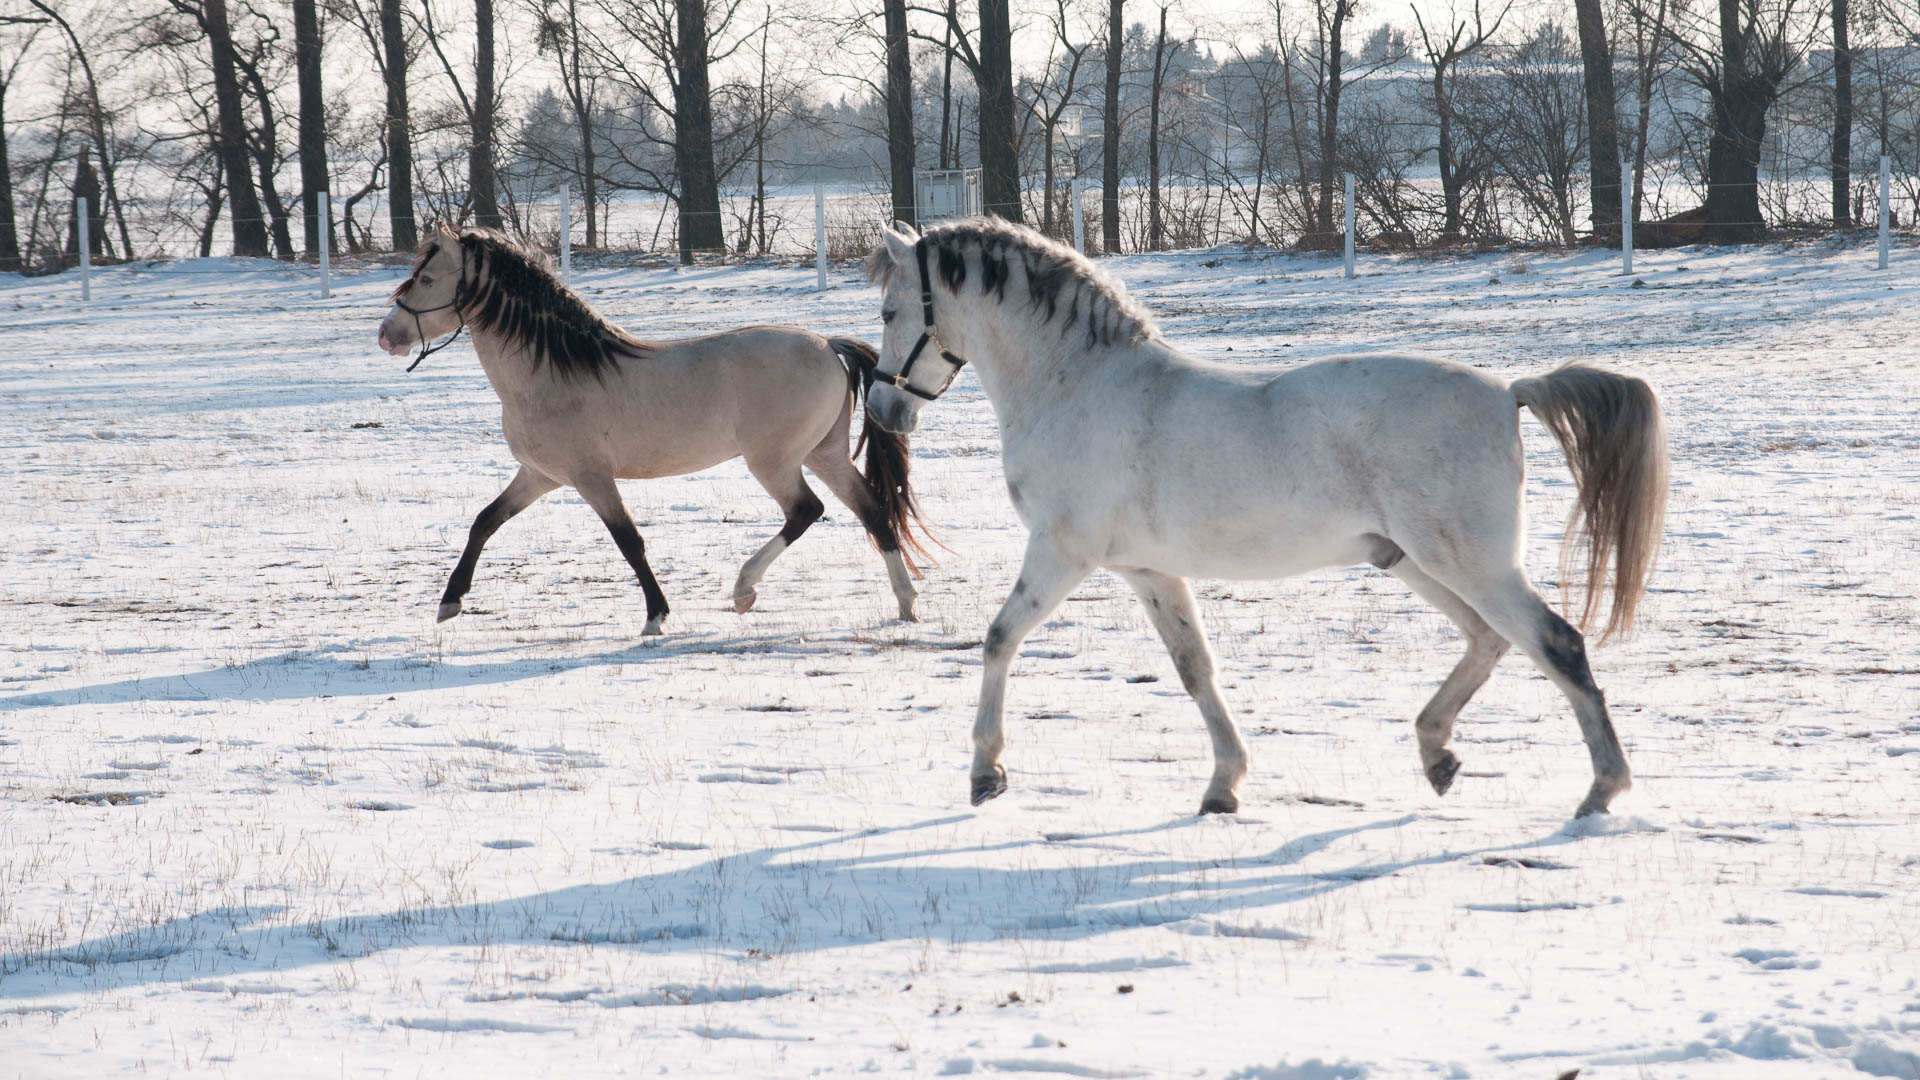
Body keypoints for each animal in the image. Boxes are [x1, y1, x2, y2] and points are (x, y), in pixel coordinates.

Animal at [376, 224, 929, 630]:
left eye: (426, 280)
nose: (386, 336)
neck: (551, 371)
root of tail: (828, 345)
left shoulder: (591, 477)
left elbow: (629, 541)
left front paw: (656, 616)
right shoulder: (540, 476)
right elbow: (485, 522)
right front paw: (449, 603)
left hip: (774, 461)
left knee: (806, 510)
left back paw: (744, 589)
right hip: (824, 454)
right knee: (873, 512)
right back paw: (905, 603)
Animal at [867, 214, 1666, 810]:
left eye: (888, 310)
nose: (882, 409)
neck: (1078, 386)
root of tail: (1508, 392)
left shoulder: (1061, 555)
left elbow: (999, 639)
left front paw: (985, 772)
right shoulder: (1150, 572)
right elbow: (1195, 669)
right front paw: (1224, 784)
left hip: (1471, 562)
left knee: (1555, 642)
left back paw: (1602, 789)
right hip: (1416, 561)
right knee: (1489, 639)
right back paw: (1438, 753)